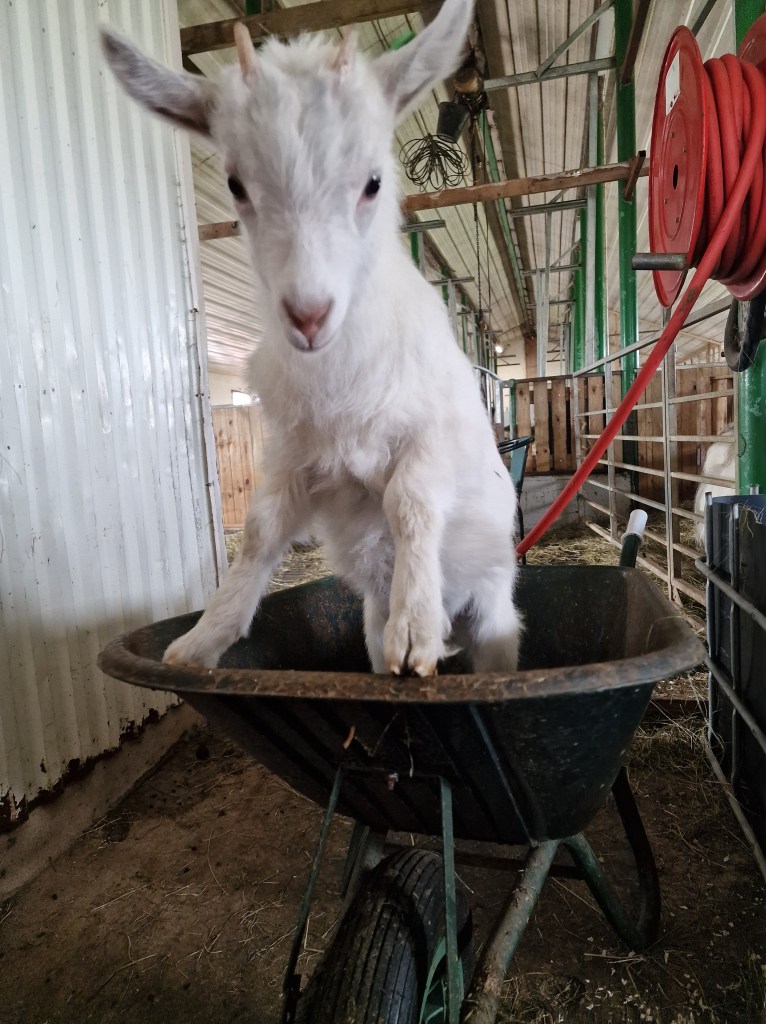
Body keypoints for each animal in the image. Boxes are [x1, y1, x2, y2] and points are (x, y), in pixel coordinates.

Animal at [102, 0, 521, 677]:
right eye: (236, 184)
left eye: (373, 181)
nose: (307, 315)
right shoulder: (295, 454)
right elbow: (262, 529)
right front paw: (201, 641)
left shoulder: (434, 434)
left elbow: (409, 502)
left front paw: (415, 626)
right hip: (368, 625)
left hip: (495, 615)